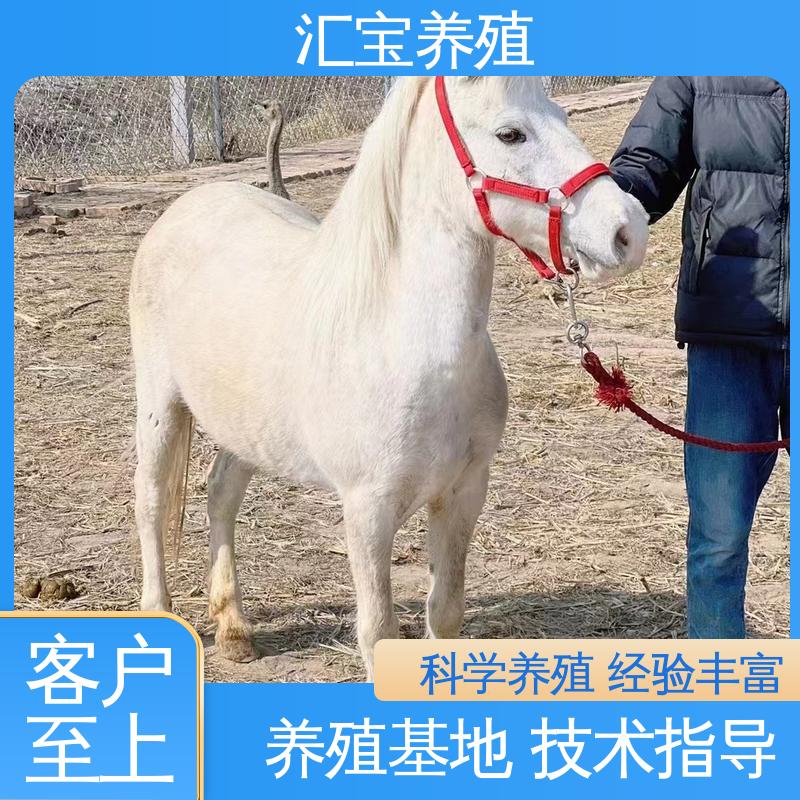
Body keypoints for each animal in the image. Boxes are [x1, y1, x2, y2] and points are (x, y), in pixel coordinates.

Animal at [129, 76, 648, 678]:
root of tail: (189, 204)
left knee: (221, 495)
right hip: (160, 406)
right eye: (510, 133)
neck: (404, 346)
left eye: (562, 115)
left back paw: (234, 630)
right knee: (150, 498)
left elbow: (445, 613)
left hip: (247, 428)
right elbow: (378, 632)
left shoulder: (464, 492)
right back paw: (160, 612)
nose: (628, 230)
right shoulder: (367, 510)